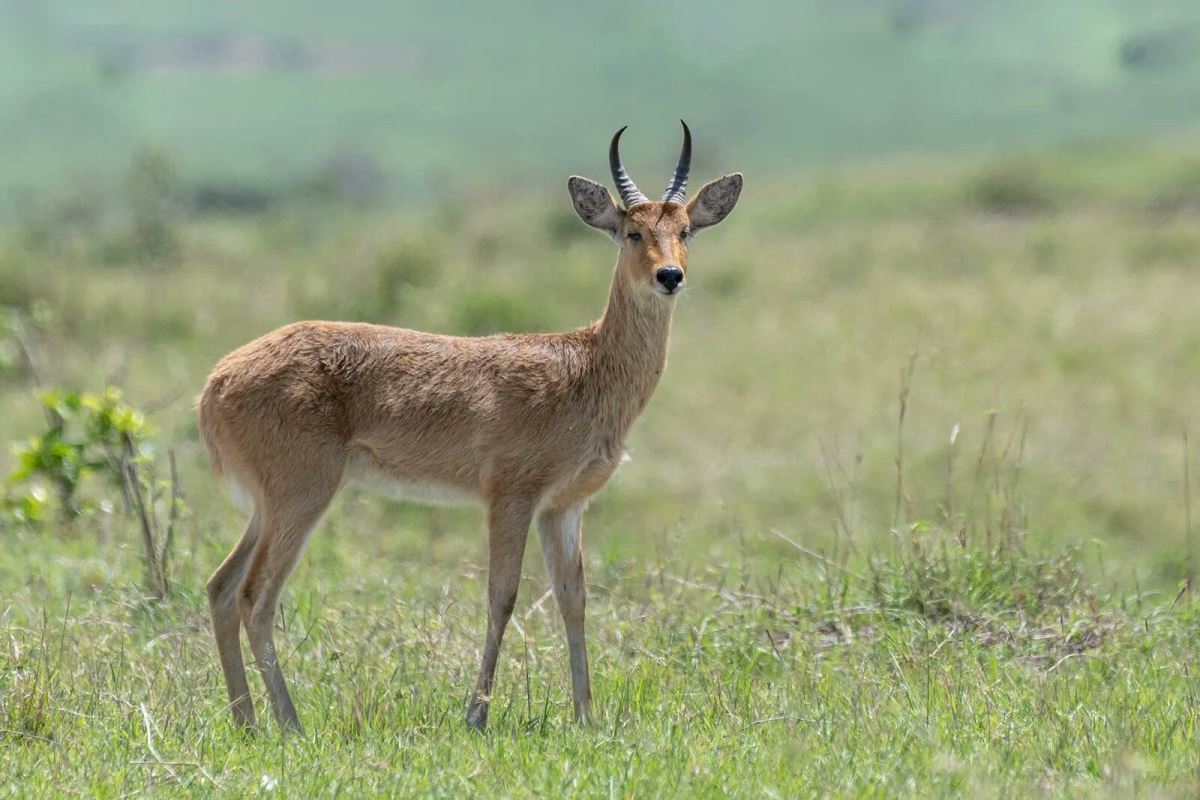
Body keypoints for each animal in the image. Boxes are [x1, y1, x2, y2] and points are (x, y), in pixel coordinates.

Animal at [198, 123, 739, 734]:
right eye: (631, 230)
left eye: (686, 228)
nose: (669, 276)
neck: (586, 368)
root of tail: (216, 380)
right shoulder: (511, 496)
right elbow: (502, 595)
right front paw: (476, 716)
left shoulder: (564, 506)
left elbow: (573, 598)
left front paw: (586, 715)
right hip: (302, 496)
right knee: (255, 595)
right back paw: (290, 724)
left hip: (267, 506)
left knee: (220, 587)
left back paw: (246, 720)